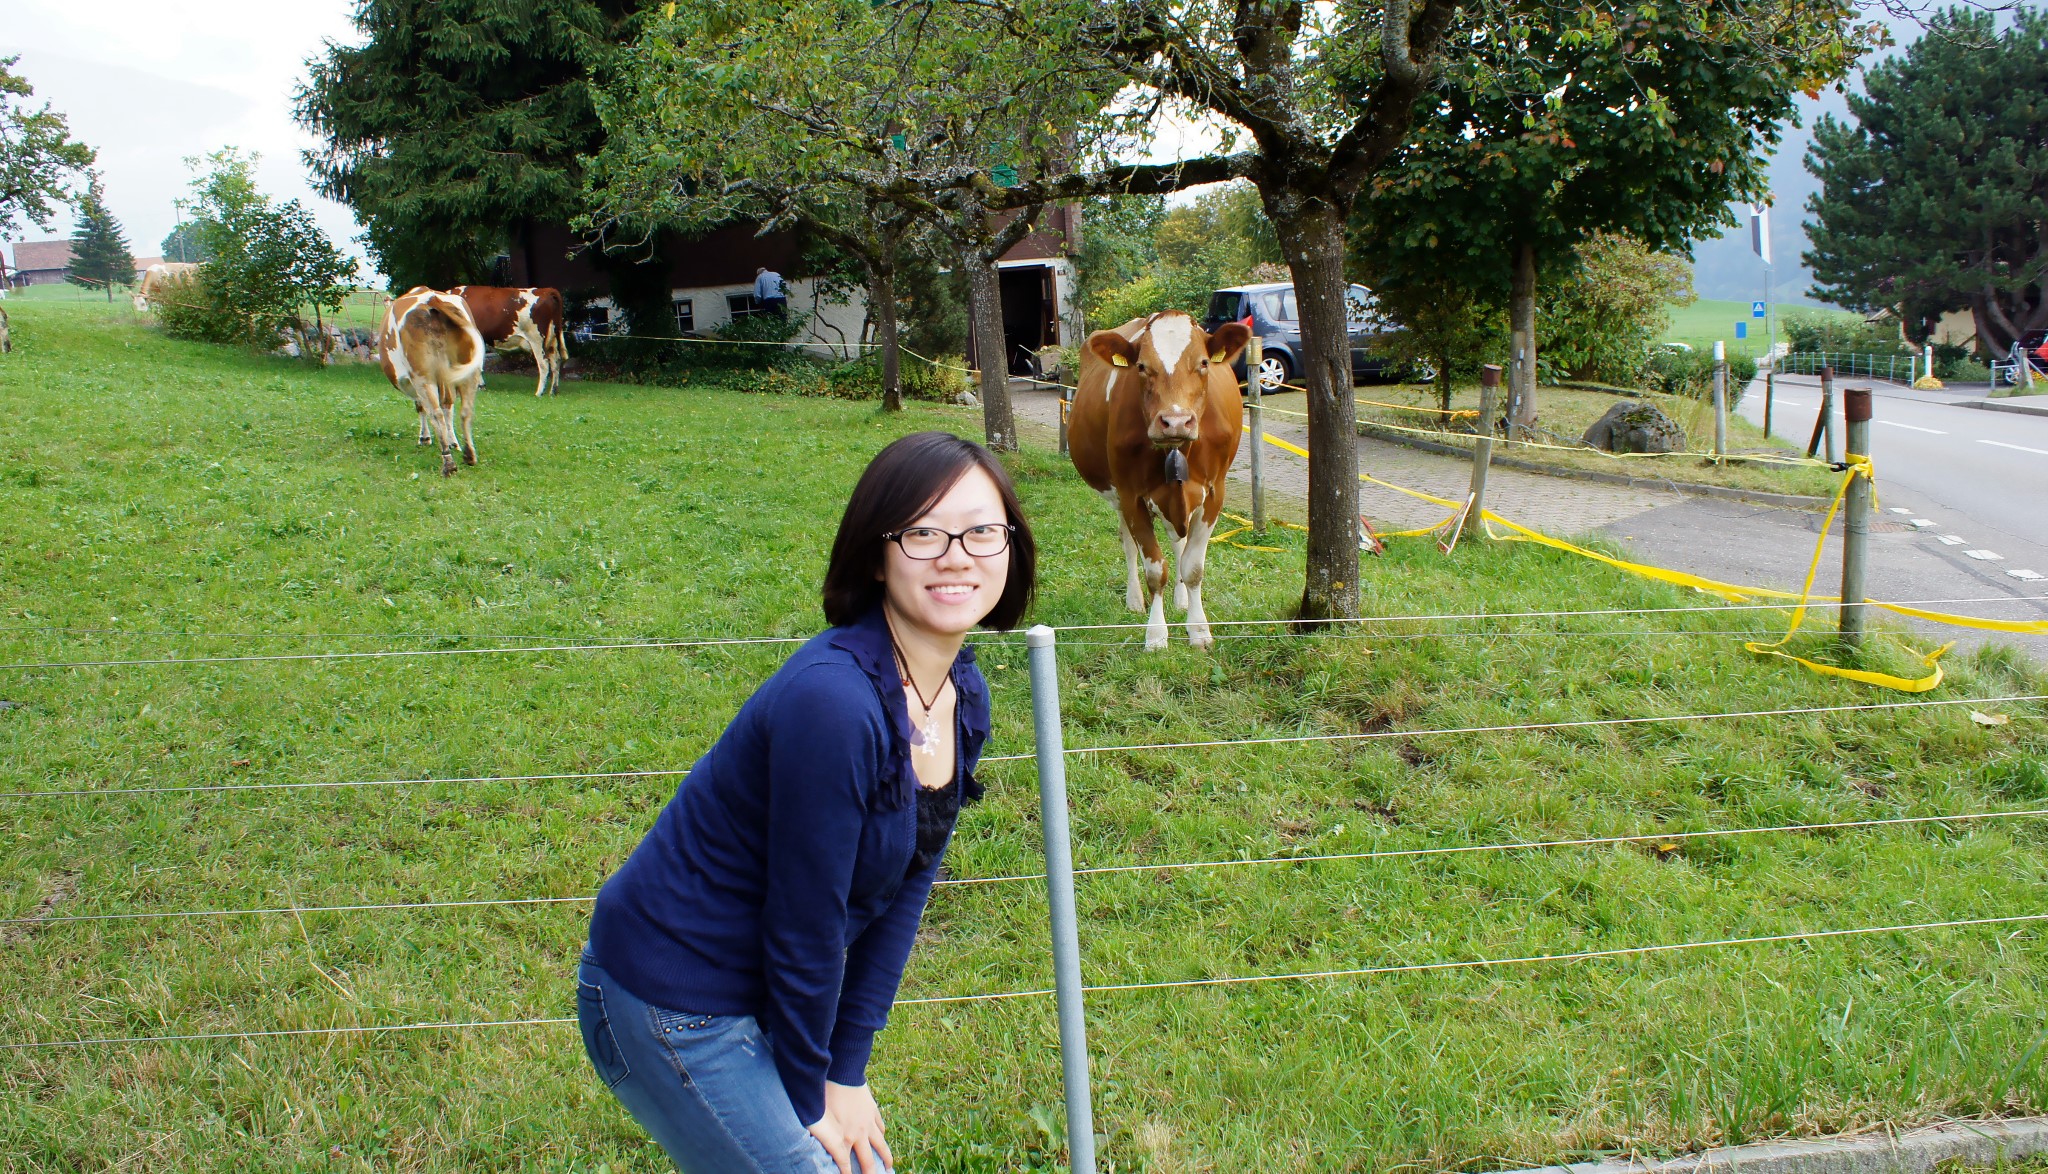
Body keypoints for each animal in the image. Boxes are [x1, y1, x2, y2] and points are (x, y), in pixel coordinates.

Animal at [378, 286, 485, 473]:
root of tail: (431, 298)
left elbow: (421, 407)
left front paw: (425, 438)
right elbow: (448, 405)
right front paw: (453, 442)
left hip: (422, 375)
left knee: (436, 413)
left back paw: (448, 463)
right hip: (469, 373)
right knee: (465, 411)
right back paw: (469, 455)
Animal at [1073, 309, 1245, 651]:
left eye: (1203, 363)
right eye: (1141, 366)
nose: (1175, 421)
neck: (1176, 448)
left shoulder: (1214, 493)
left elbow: (1192, 567)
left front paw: (1199, 630)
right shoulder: (1131, 497)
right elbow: (1154, 570)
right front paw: (1155, 635)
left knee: (1178, 544)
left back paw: (1181, 600)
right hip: (1118, 497)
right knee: (1128, 543)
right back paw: (1134, 599)